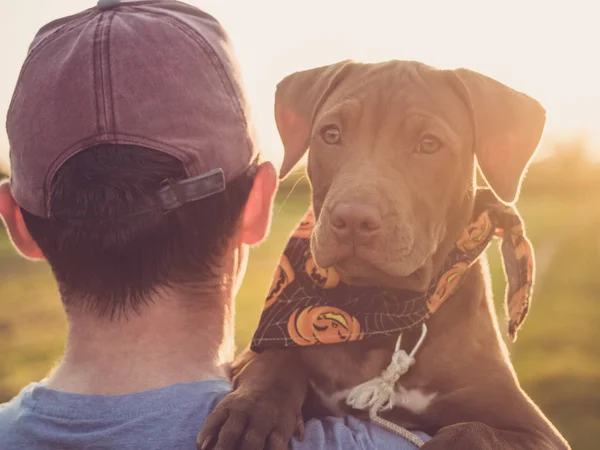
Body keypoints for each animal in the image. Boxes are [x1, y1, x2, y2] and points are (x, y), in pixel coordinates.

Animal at [198, 61, 572, 450]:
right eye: (331, 134)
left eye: (429, 144)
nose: (351, 218)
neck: (381, 309)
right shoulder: (262, 353)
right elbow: (272, 359)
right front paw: (251, 412)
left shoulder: (535, 430)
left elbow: (474, 432)